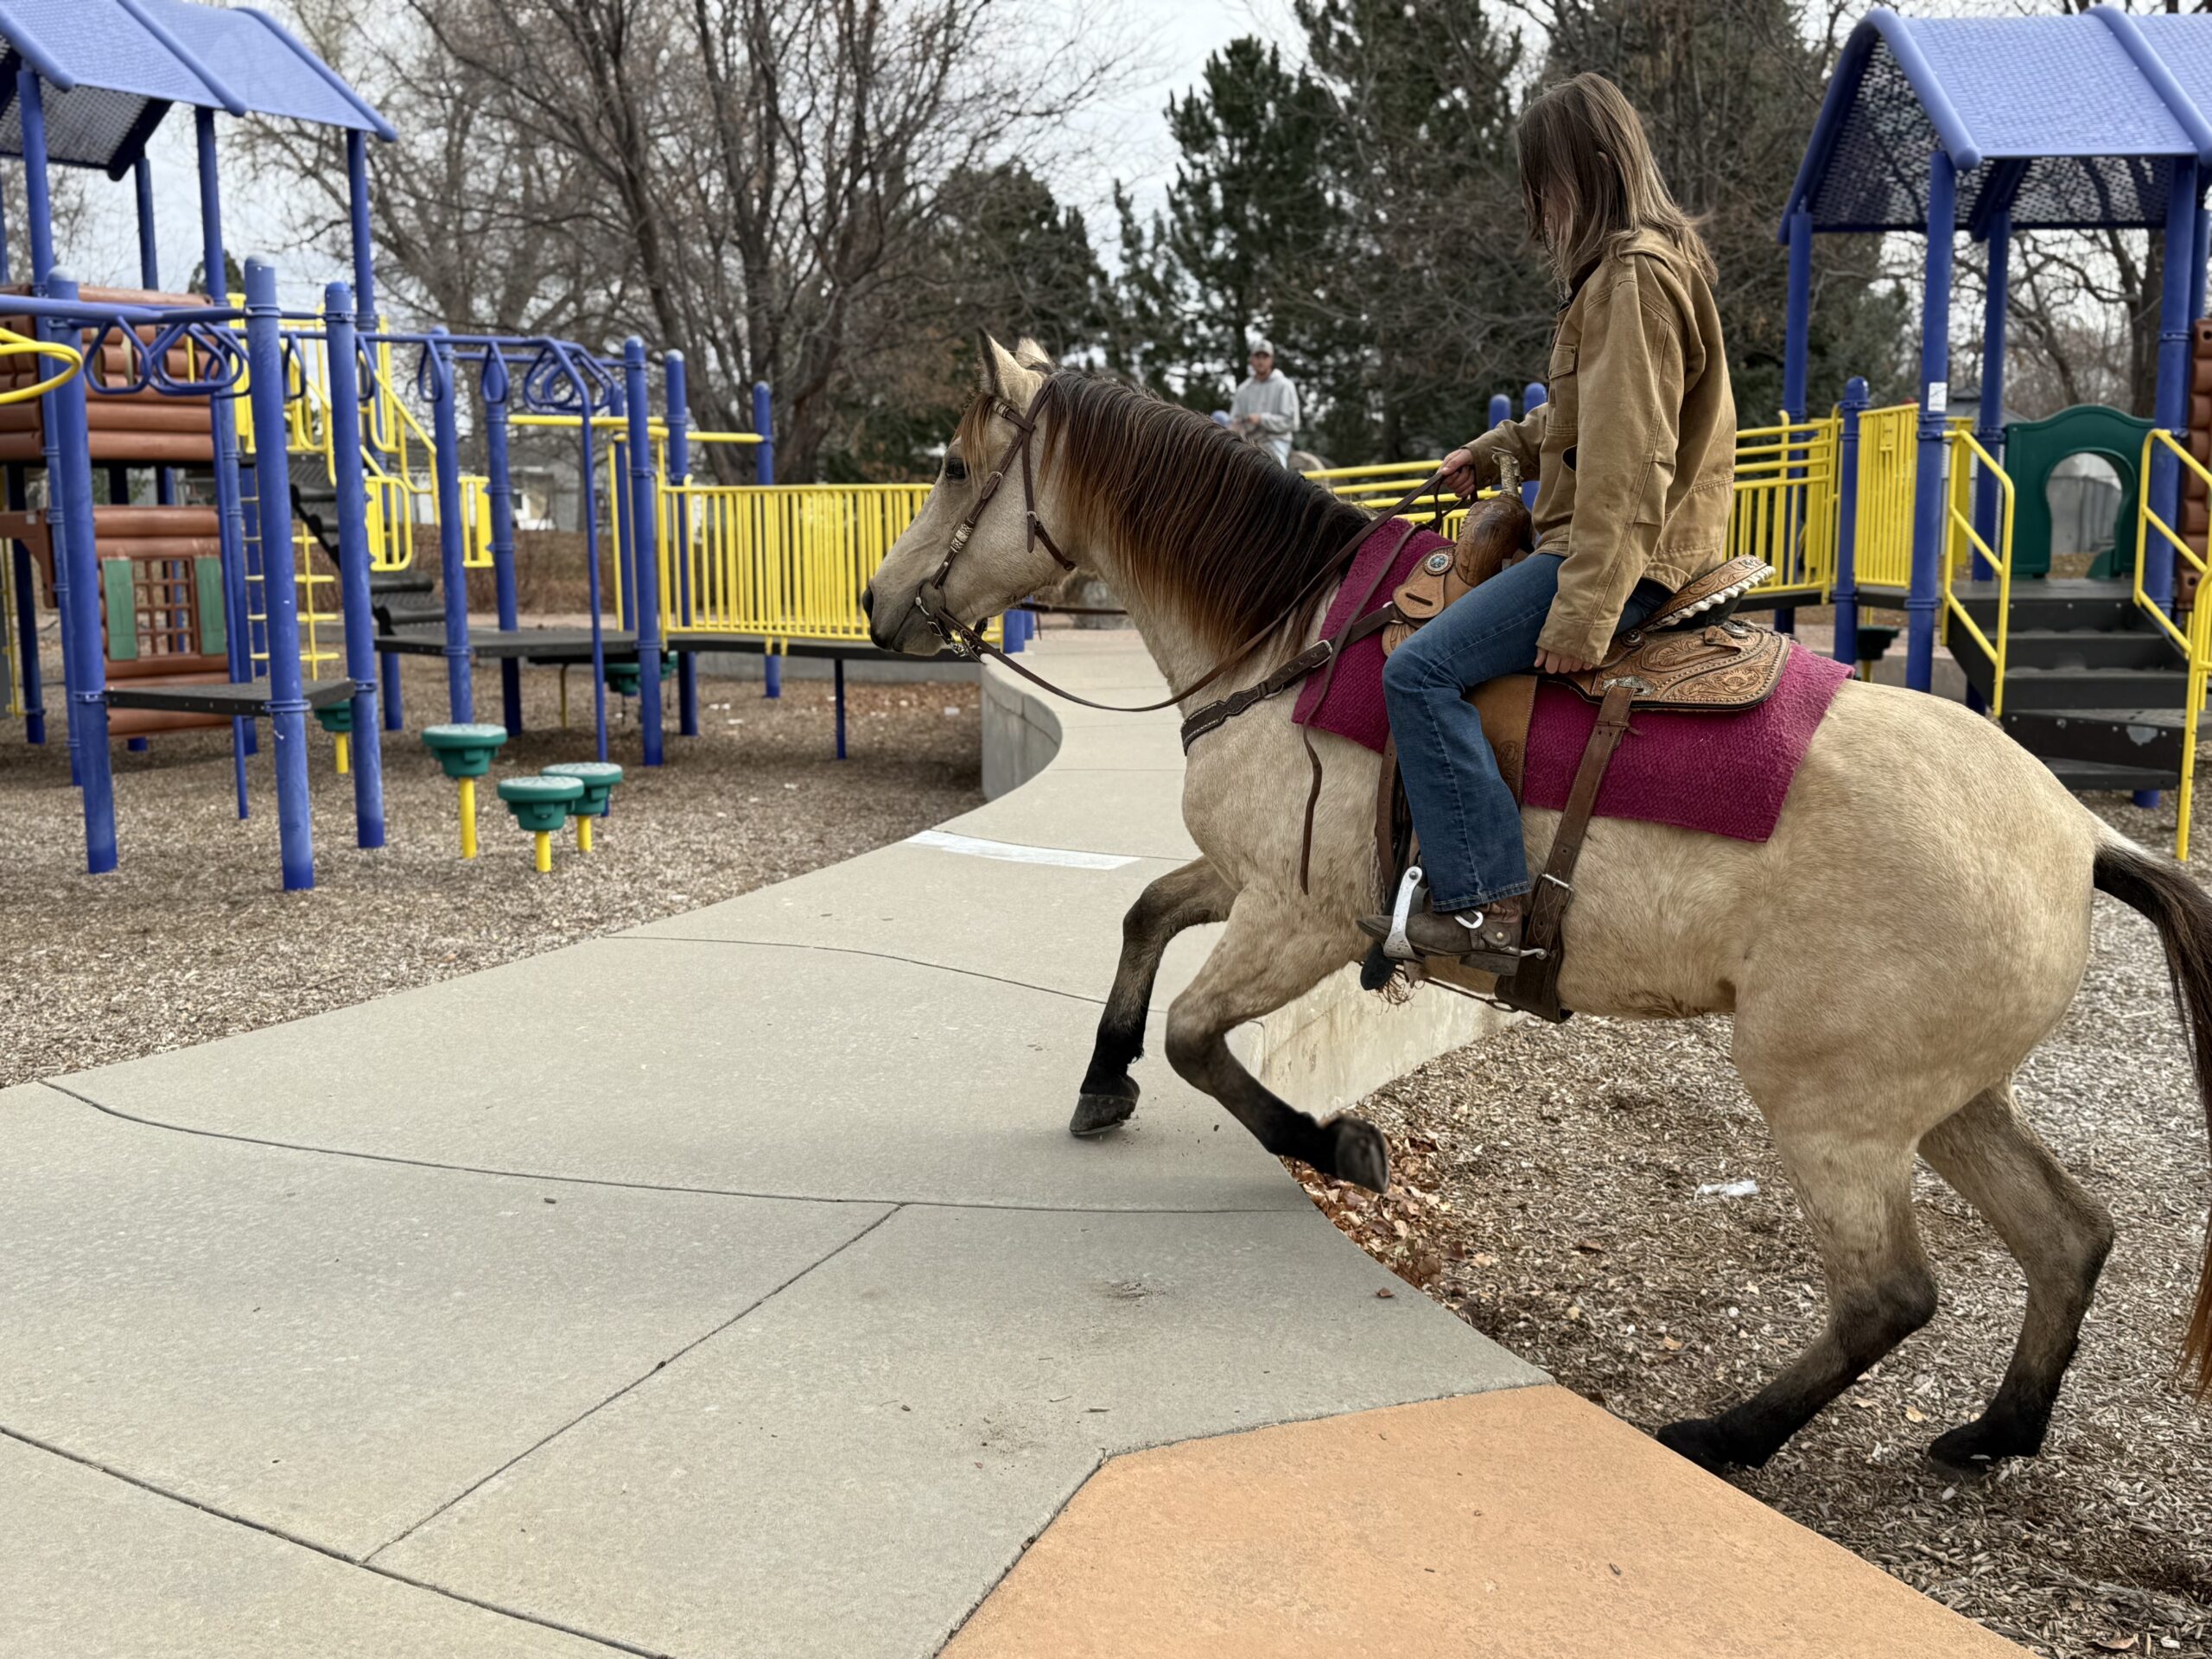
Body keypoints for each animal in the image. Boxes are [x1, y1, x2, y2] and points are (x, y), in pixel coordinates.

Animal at [860, 335, 2212, 1476]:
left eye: (953, 465)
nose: (878, 605)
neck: (1288, 645)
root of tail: (2078, 835)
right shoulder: (1255, 883)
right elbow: (1142, 915)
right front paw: (1103, 1082)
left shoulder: (1303, 918)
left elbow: (1199, 1038)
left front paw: (1337, 1144)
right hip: (1945, 1098)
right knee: (2068, 1235)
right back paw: (1996, 1433)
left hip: (1835, 1101)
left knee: (1893, 1293)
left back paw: (1728, 1434)